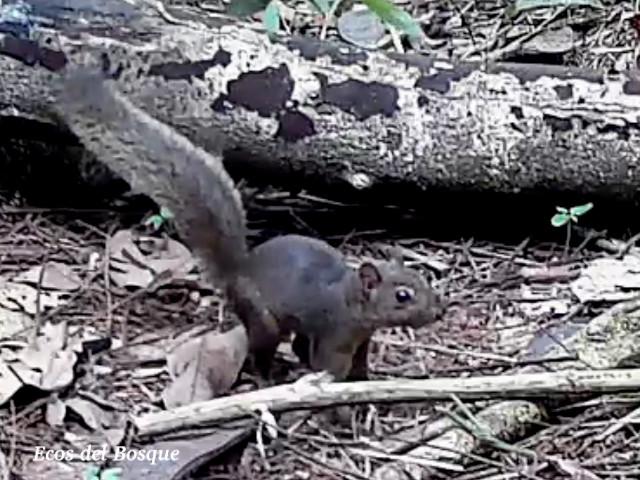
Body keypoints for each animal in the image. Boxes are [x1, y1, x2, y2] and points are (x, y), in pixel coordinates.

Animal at [52, 68, 446, 381]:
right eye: (403, 296)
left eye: (422, 279)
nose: (439, 311)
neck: (350, 300)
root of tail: (238, 272)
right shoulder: (334, 334)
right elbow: (328, 368)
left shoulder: (362, 339)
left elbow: (359, 365)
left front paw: (365, 385)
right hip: (262, 318)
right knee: (263, 349)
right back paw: (267, 378)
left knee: (296, 345)